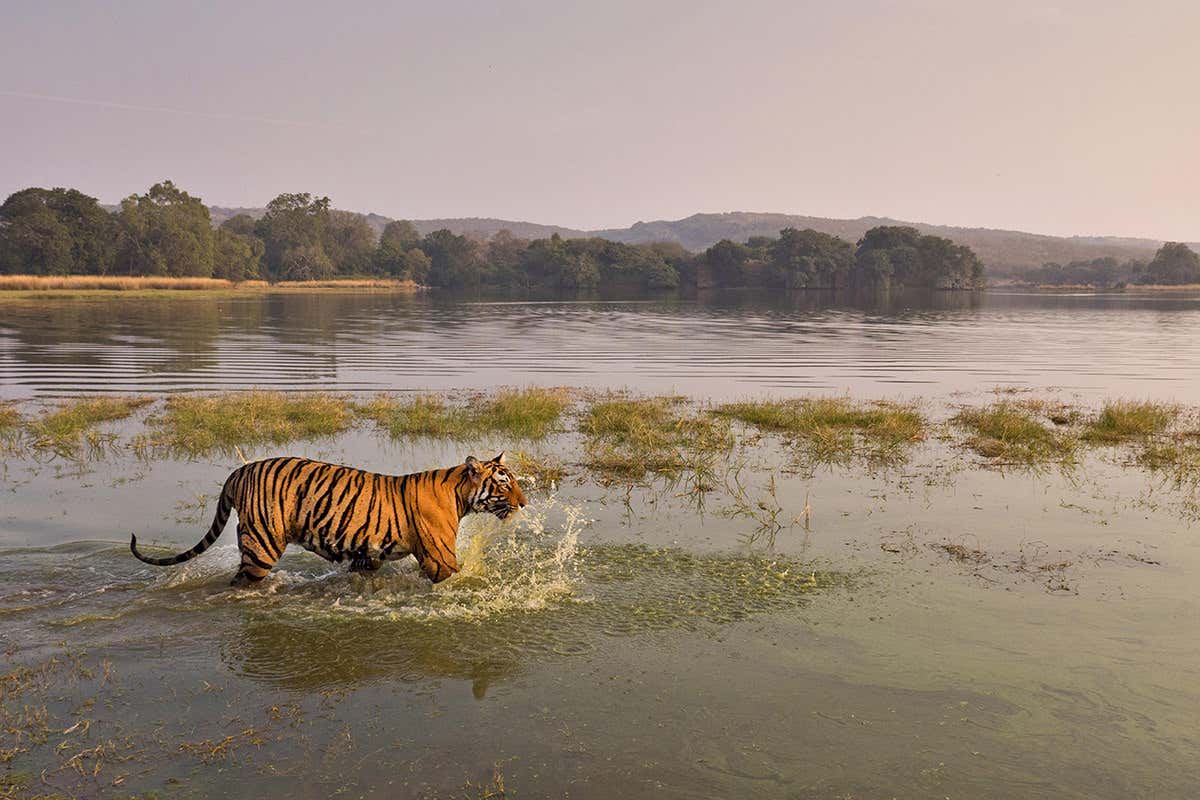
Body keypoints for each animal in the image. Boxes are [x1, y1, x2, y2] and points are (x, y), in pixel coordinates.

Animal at [130, 453, 526, 586]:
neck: (459, 494)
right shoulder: (440, 559)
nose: (524, 503)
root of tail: (240, 471)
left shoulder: (368, 556)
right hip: (262, 545)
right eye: (505, 484)